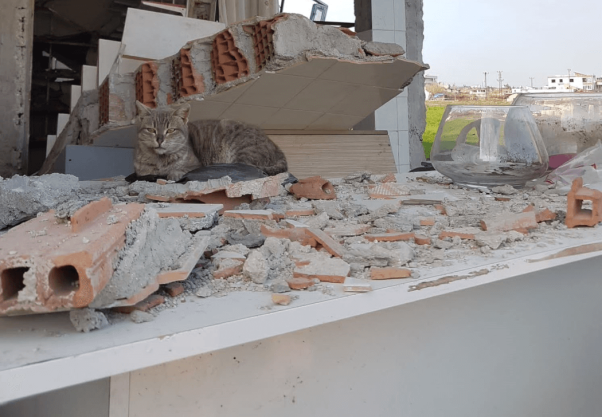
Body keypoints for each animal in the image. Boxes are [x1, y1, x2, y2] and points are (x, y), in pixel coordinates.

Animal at [134, 101, 288, 180]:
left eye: (171, 130)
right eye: (151, 130)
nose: (159, 139)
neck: (160, 160)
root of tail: (277, 148)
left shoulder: (195, 164)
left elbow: (179, 169)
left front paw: (173, 174)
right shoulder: (141, 171)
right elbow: (146, 172)